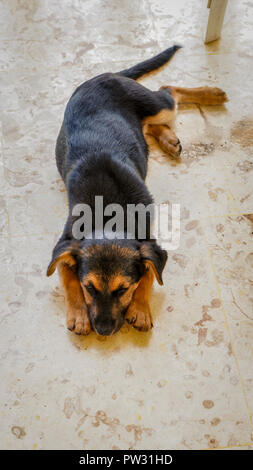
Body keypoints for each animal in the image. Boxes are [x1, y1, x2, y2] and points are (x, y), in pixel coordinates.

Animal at [47, 46, 227, 336]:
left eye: (123, 289)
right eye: (89, 288)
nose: (104, 332)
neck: (109, 219)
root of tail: (106, 74)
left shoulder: (149, 242)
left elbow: (150, 274)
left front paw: (141, 309)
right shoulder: (67, 242)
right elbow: (66, 275)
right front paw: (78, 314)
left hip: (158, 107)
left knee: (168, 90)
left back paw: (211, 94)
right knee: (149, 121)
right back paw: (168, 139)